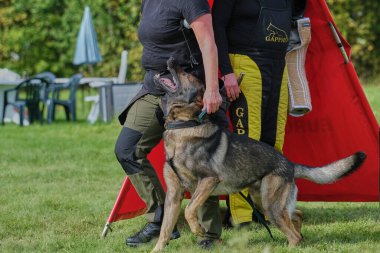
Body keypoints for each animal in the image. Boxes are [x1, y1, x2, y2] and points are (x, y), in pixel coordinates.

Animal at [150, 57, 366, 253]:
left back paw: (291, 245)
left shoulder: (208, 180)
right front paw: (157, 249)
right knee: (297, 215)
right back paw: (301, 237)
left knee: (292, 233)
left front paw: (198, 230)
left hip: (271, 206)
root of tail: (290, 164)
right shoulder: (173, 195)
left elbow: (189, 210)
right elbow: (165, 230)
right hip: (265, 203)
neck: (183, 126)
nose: (170, 59)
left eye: (187, 75)